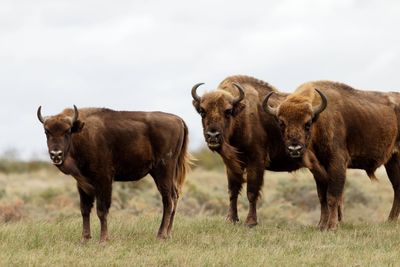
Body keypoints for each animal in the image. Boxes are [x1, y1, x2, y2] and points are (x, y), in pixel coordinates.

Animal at [36, 105, 190, 242]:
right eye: (46, 131)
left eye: (67, 131)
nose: (56, 154)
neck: (82, 134)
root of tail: (178, 120)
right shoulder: (82, 183)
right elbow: (85, 210)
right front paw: (84, 239)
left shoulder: (104, 180)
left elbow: (101, 210)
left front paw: (103, 240)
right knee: (174, 197)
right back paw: (168, 234)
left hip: (163, 171)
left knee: (167, 200)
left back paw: (160, 235)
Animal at [191, 76, 304, 227]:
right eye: (202, 111)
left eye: (228, 111)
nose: (213, 135)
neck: (241, 117)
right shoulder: (232, 165)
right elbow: (233, 191)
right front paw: (231, 219)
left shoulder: (256, 161)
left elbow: (251, 191)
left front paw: (250, 222)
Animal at [264, 80, 400, 231]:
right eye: (282, 124)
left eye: (307, 123)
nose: (294, 148)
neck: (319, 120)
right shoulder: (317, 170)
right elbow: (322, 197)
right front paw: (321, 225)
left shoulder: (337, 164)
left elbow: (332, 196)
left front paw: (332, 226)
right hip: (392, 161)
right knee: (397, 188)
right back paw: (390, 221)